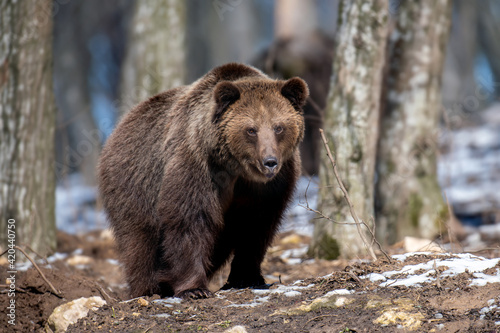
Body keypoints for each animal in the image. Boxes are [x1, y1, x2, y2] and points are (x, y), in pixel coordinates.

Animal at [97, 62, 308, 298]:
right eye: (251, 130)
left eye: (278, 127)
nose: (269, 162)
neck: (237, 169)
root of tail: (117, 129)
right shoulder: (197, 164)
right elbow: (189, 218)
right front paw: (194, 288)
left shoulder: (271, 185)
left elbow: (257, 225)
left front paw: (248, 277)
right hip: (136, 182)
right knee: (140, 240)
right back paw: (149, 287)